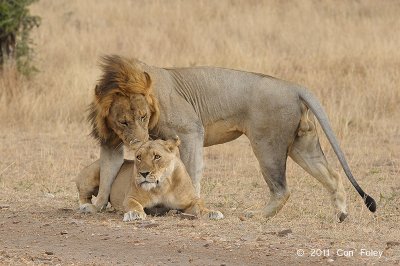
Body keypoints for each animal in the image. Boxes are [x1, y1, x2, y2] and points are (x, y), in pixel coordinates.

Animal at [76, 137, 225, 220]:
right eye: (138, 157)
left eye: (157, 156)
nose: (143, 173)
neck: (162, 187)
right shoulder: (131, 197)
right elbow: (134, 205)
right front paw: (134, 214)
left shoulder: (191, 200)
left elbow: (200, 206)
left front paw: (212, 213)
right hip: (93, 172)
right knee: (86, 196)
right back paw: (86, 207)